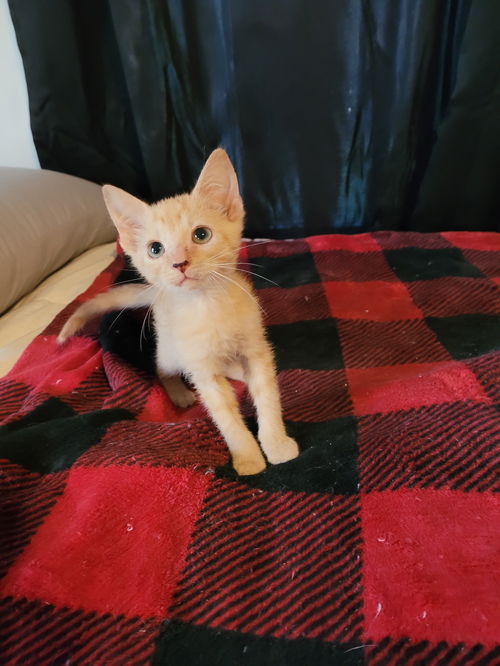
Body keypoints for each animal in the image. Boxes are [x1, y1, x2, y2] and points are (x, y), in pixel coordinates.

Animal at [59, 148, 300, 474]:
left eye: (201, 235)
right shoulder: (202, 369)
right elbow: (224, 415)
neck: (208, 306)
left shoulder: (256, 349)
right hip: (171, 352)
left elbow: (267, 395)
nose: (179, 263)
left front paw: (276, 444)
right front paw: (248, 458)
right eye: (155, 249)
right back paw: (180, 393)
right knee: (162, 369)